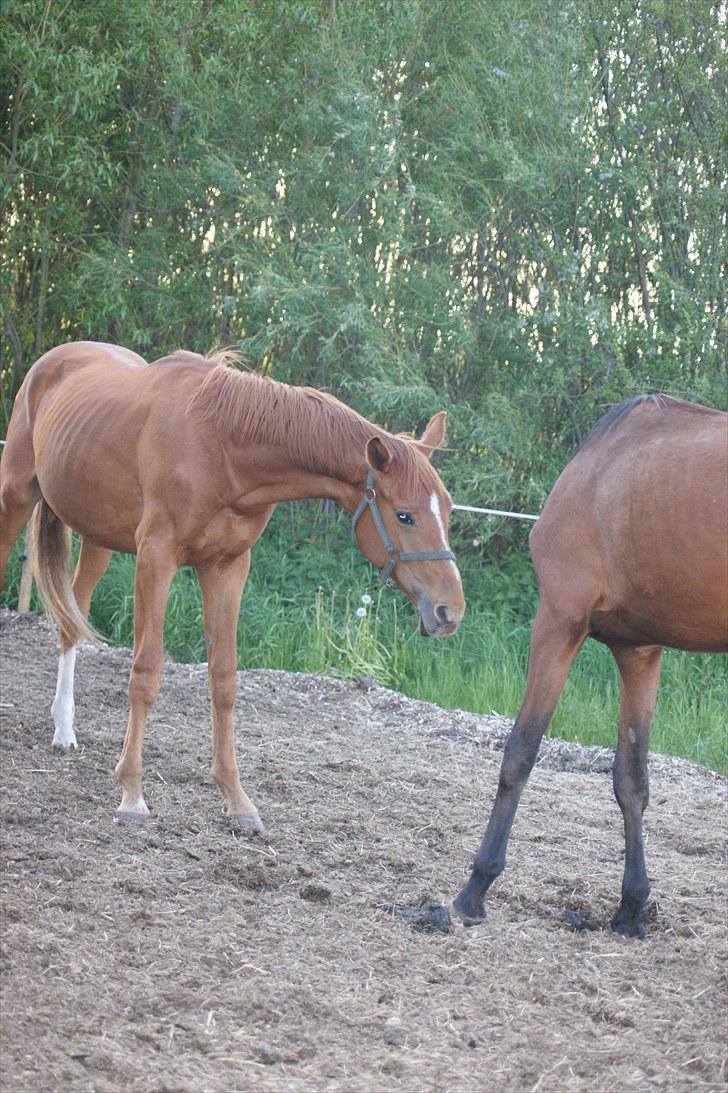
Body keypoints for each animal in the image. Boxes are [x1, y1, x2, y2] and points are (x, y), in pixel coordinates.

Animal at [0, 341, 461, 826]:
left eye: (448, 508)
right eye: (404, 515)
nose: (449, 609)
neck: (221, 446)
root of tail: (55, 359)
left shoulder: (227, 568)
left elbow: (223, 679)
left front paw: (236, 798)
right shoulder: (157, 558)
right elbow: (146, 672)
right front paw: (131, 793)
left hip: (97, 536)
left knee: (73, 618)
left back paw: (63, 728)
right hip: (16, 497)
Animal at [450, 395, 721, 939]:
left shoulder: (558, 619)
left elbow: (520, 751)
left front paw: (476, 887)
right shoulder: (639, 651)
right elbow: (631, 780)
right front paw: (631, 907)